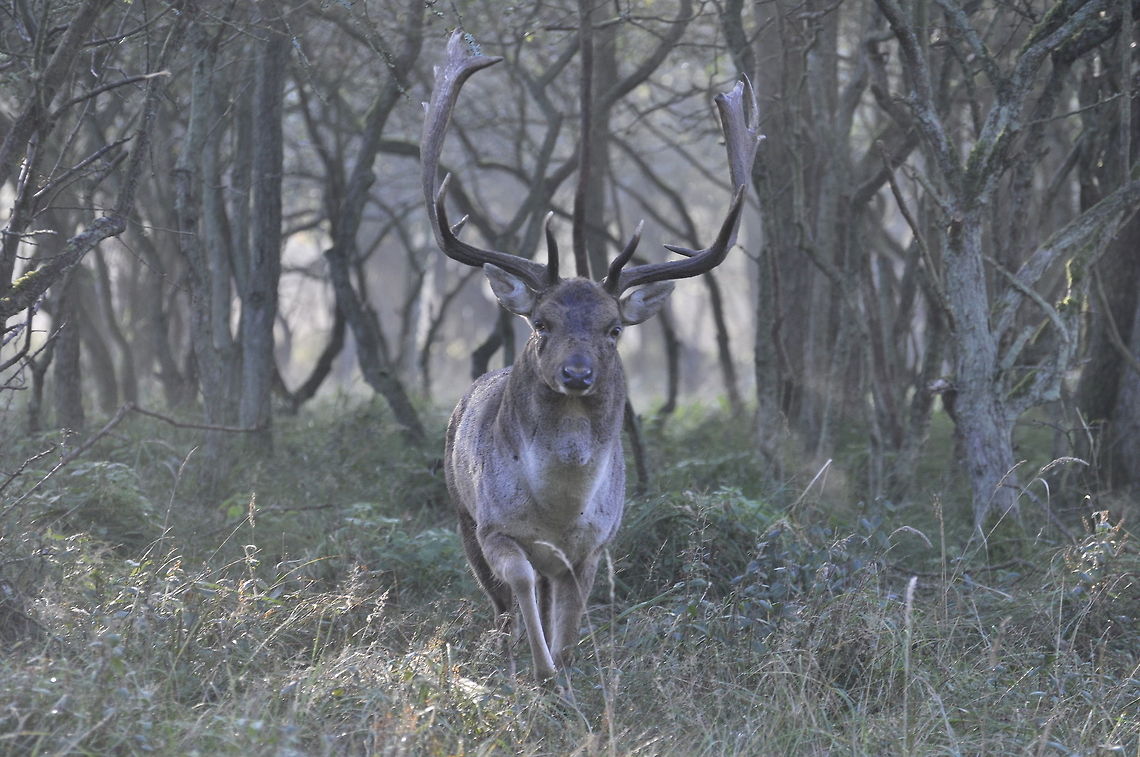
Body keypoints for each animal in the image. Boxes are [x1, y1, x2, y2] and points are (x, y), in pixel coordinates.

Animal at [421, 31, 761, 683]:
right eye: (542, 322)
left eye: (613, 328)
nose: (576, 375)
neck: (559, 510)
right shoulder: (496, 527)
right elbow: (522, 584)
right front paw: (542, 671)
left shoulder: (596, 546)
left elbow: (573, 619)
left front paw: (565, 675)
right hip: (459, 515)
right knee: (500, 603)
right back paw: (508, 654)